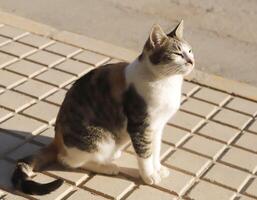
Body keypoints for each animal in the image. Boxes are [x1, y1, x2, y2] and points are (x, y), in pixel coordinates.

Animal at [11, 20, 193, 195]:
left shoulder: (157, 126)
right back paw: (107, 167)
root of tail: (57, 139)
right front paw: (149, 175)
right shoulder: (140, 126)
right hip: (100, 138)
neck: (166, 82)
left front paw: (158, 169)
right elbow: (145, 154)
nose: (191, 61)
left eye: (190, 51)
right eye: (177, 53)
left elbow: (155, 150)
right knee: (68, 160)